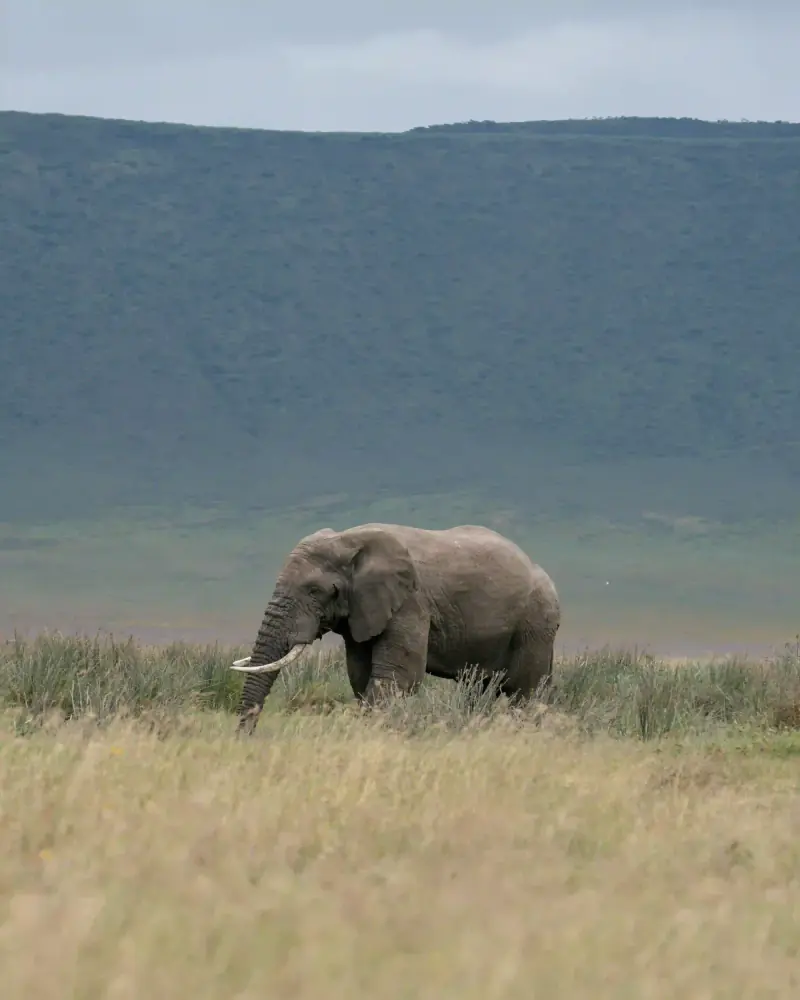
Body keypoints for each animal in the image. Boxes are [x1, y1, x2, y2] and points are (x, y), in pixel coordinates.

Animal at [230, 522, 561, 733]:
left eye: (315, 591)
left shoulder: (411, 603)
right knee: (479, 690)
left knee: (525, 693)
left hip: (536, 623)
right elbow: (361, 675)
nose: (246, 739)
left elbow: (397, 678)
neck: (349, 540)